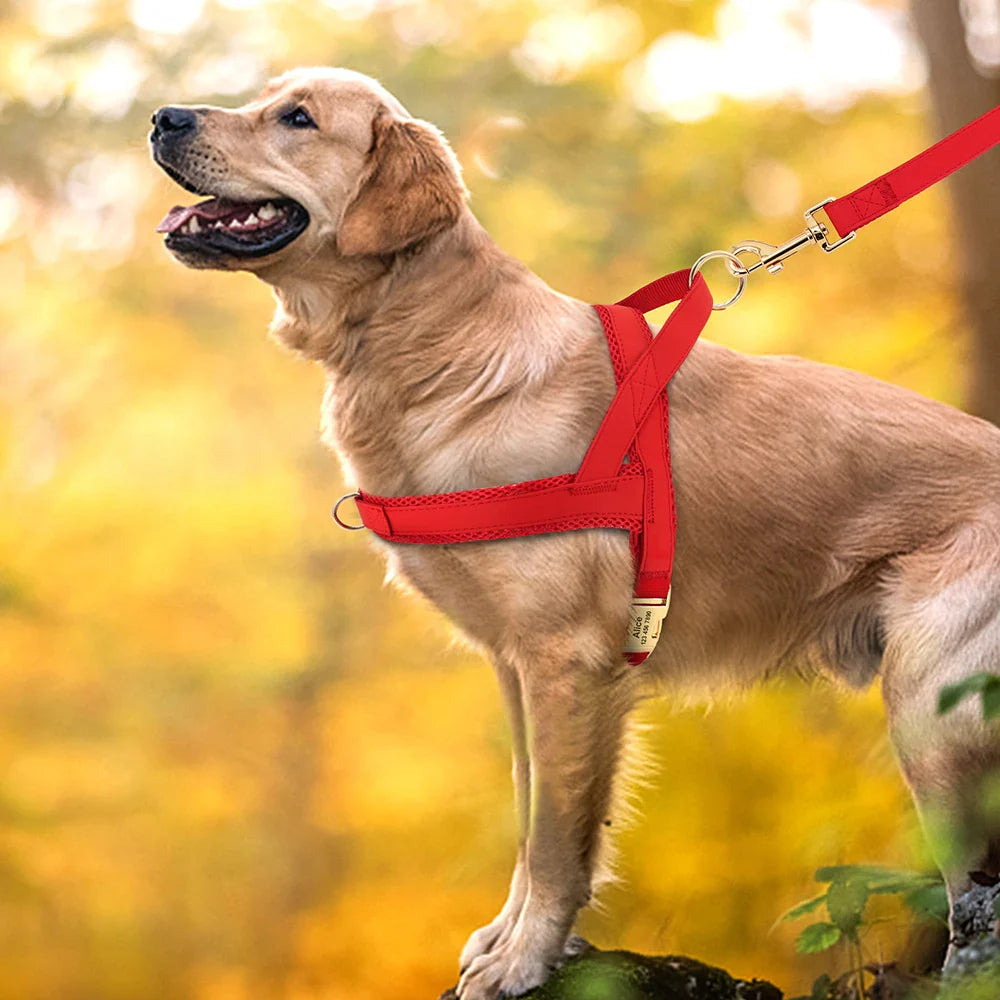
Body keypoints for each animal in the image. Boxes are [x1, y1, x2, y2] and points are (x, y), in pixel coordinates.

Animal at [150, 66, 1000, 996]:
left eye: (297, 117)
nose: (162, 116)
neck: (434, 343)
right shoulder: (515, 667)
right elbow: (530, 825)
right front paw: (512, 939)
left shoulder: (567, 662)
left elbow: (558, 842)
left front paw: (525, 961)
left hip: (929, 704)